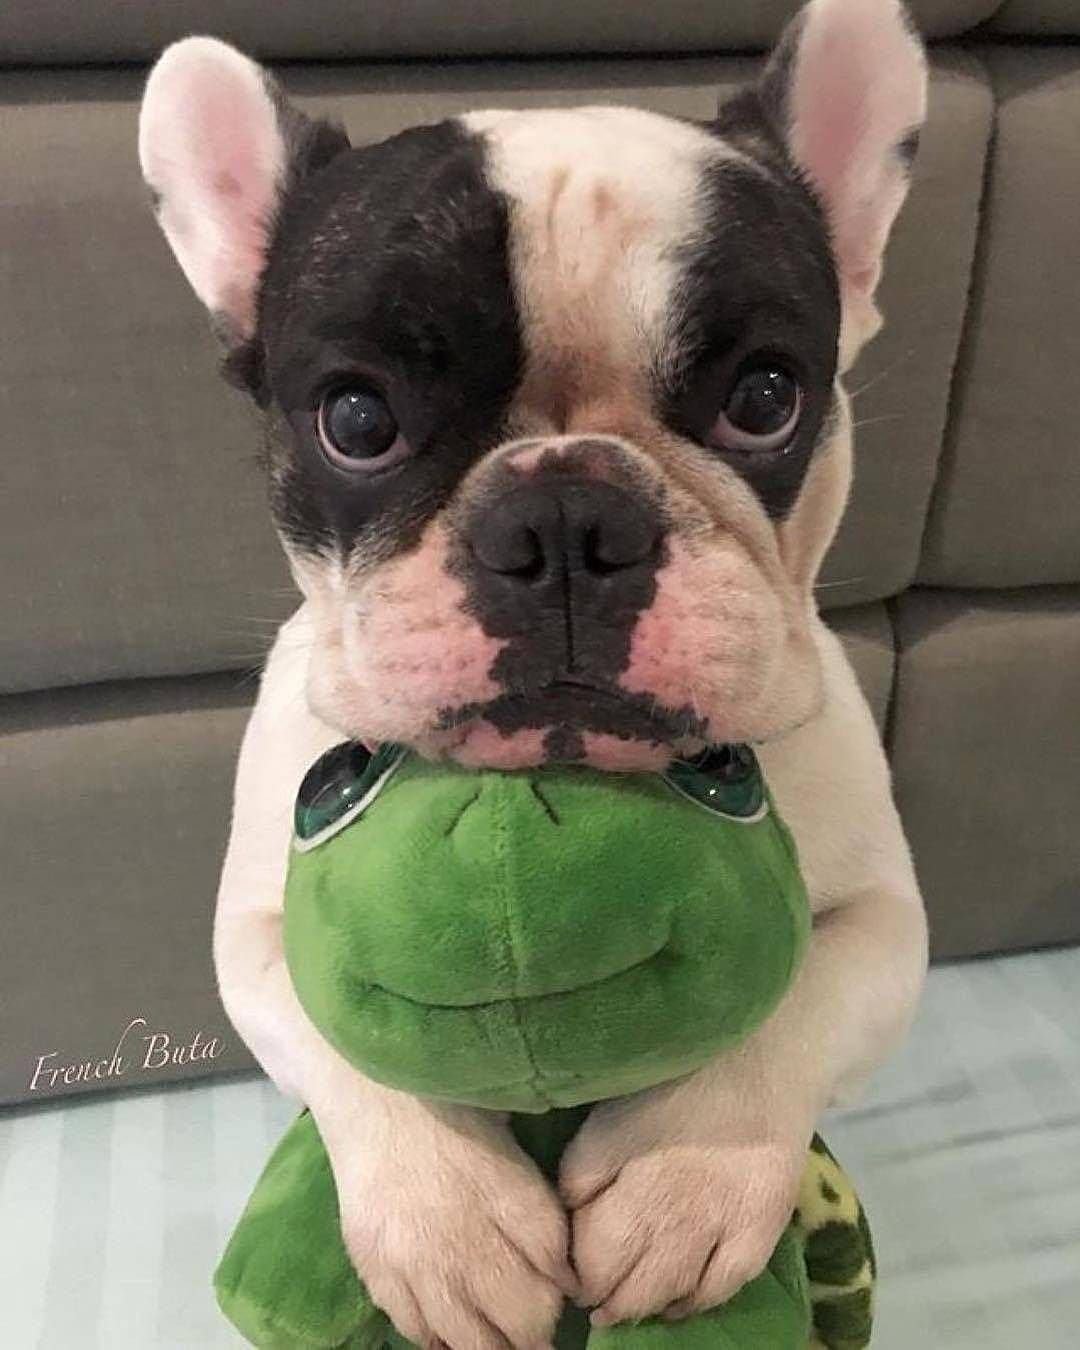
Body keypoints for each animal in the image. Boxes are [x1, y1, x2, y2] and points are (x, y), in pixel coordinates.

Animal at [138, 1, 928, 1344]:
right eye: (356, 420)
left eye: (766, 397)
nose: (565, 521)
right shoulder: (252, 930)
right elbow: (335, 1026)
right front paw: (448, 1217)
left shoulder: (888, 920)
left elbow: (801, 999)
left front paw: (683, 1179)